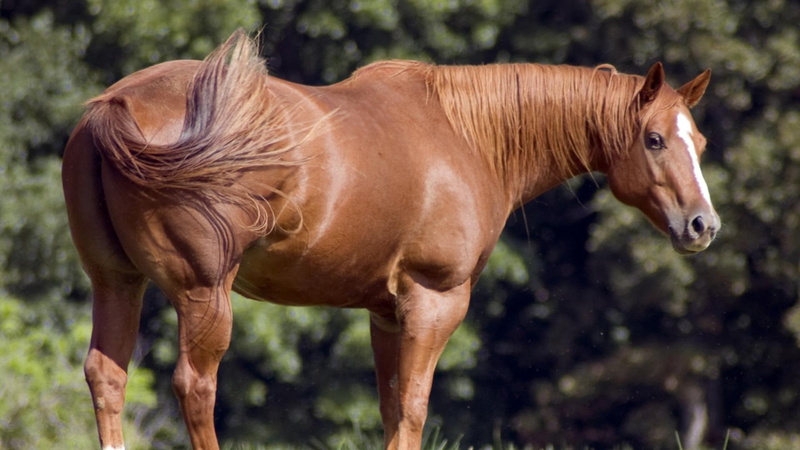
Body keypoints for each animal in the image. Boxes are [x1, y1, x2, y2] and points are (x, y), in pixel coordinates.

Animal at [62, 30, 718, 450]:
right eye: (655, 139)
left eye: (701, 141)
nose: (702, 225)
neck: (466, 135)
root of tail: (115, 105)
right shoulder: (435, 301)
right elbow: (413, 410)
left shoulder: (384, 311)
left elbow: (390, 409)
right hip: (204, 295)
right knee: (195, 387)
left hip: (116, 283)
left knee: (107, 377)